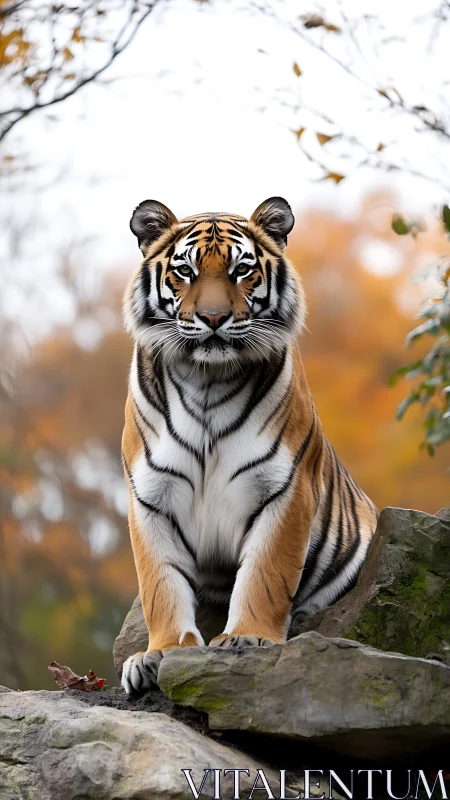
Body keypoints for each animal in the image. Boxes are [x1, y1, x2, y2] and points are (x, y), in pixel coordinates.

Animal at [120, 196, 378, 694]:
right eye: (185, 270)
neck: (207, 380)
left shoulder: (285, 489)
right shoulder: (151, 498)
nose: (214, 318)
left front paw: (247, 640)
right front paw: (161, 652)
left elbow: (265, 573)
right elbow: (160, 583)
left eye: (241, 270)